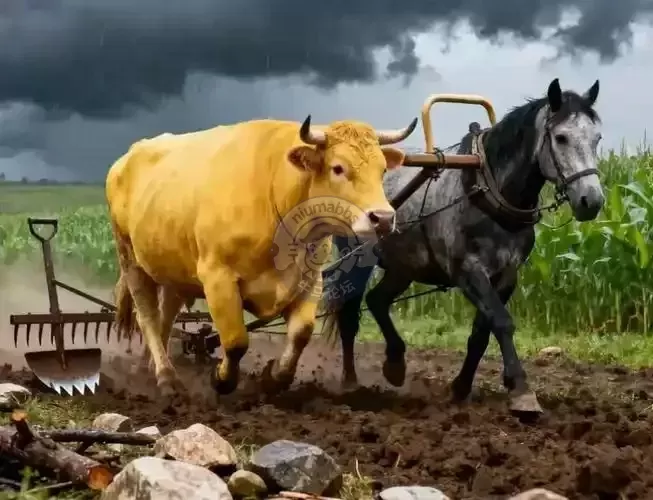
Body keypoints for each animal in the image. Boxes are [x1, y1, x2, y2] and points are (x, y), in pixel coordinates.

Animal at [320, 78, 604, 417]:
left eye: (597, 138)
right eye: (561, 137)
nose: (592, 200)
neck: (487, 190)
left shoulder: (507, 275)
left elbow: (482, 331)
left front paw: (461, 386)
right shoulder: (467, 271)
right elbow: (501, 322)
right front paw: (521, 390)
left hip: (405, 265)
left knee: (377, 300)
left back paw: (395, 363)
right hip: (356, 260)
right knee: (350, 316)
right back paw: (351, 381)